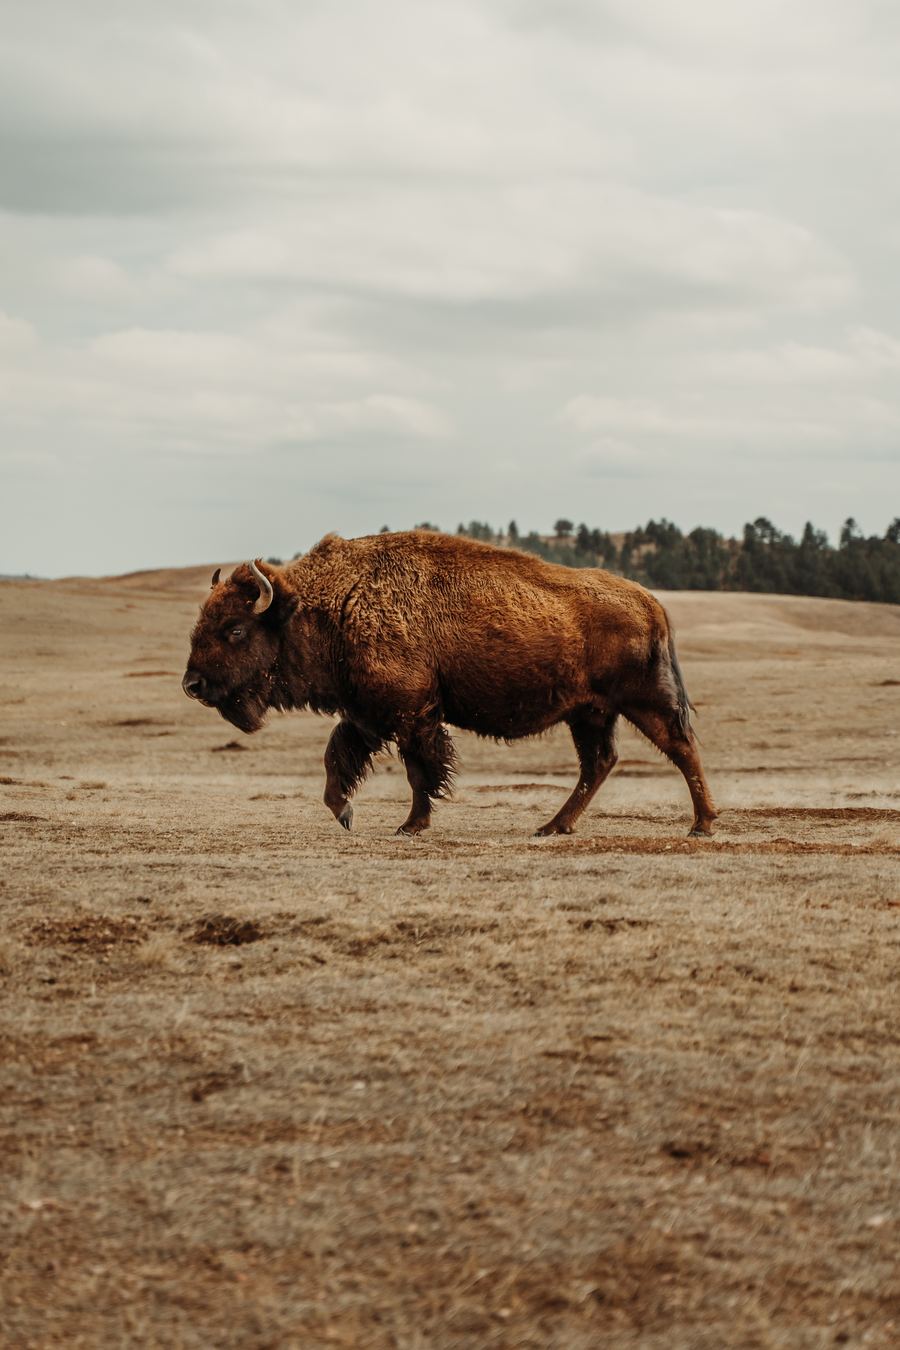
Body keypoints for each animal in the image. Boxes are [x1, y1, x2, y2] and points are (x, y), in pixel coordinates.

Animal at [182, 530, 716, 837]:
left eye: (235, 629)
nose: (192, 684)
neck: (337, 602)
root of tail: (649, 600)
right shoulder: (365, 715)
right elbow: (338, 761)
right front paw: (346, 813)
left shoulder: (411, 713)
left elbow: (420, 771)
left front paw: (410, 826)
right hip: (590, 714)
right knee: (599, 763)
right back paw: (552, 826)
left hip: (644, 701)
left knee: (681, 747)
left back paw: (702, 825)